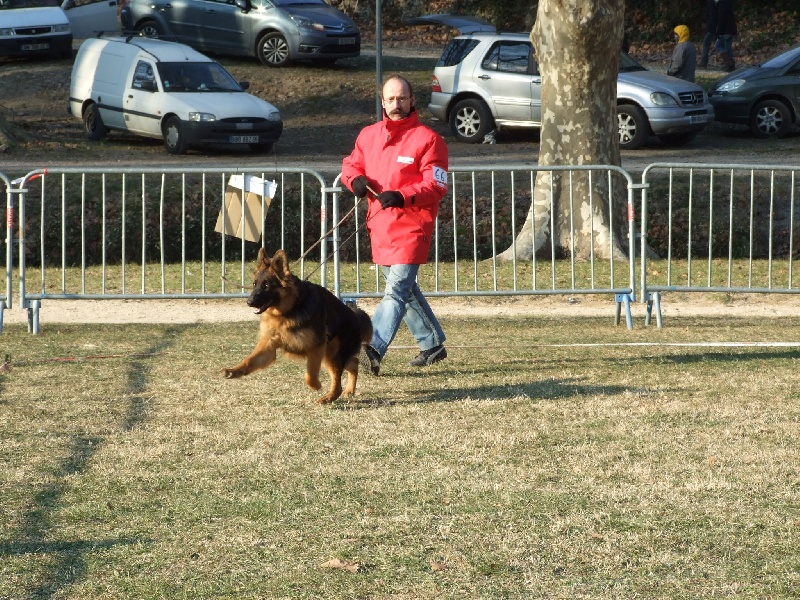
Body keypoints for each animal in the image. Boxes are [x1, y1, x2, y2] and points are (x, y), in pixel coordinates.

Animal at [220, 246, 374, 406]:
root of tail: (356, 316)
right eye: (254, 284)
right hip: (331, 355)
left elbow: (309, 375)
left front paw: (316, 385)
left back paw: (328, 398)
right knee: (353, 364)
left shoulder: (316, 348)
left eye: (267, 285)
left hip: (331, 355)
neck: (289, 310)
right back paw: (349, 390)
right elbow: (249, 360)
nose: (249, 302)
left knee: (338, 381)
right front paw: (234, 371)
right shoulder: (269, 346)